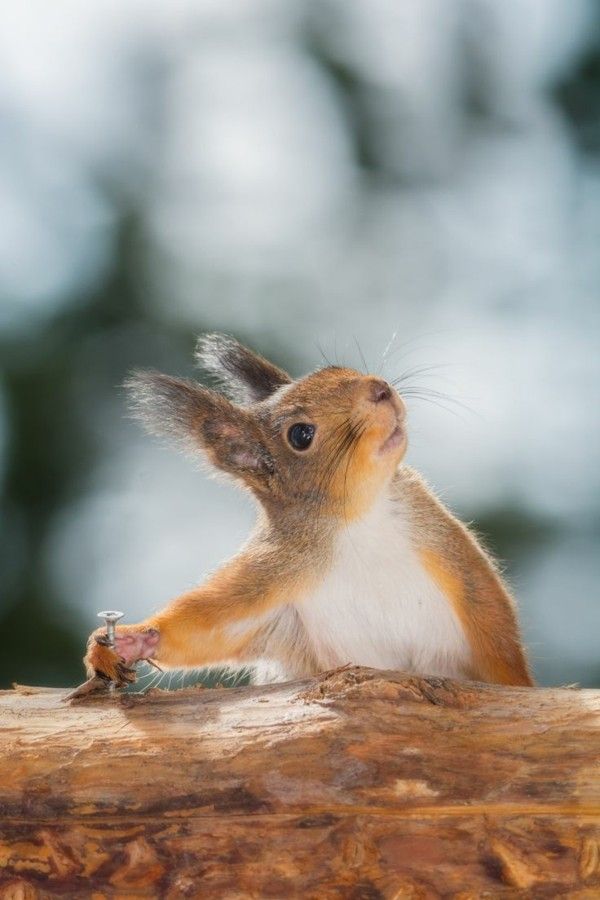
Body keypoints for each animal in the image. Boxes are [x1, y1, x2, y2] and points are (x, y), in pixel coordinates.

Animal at [85, 334, 536, 692]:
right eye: (301, 435)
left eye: (334, 368)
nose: (380, 389)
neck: (358, 521)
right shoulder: (274, 570)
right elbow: (206, 624)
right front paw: (131, 640)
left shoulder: (442, 540)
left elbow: (492, 619)